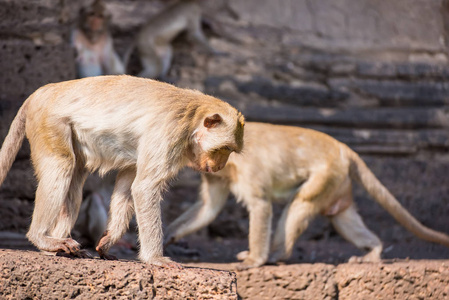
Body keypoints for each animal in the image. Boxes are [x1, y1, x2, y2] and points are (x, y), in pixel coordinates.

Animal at [0, 74, 245, 268]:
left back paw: (55, 249)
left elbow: (129, 185)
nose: (220, 165)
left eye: (231, 150)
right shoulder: (169, 133)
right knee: (62, 165)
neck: (192, 117)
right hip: (50, 122)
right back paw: (42, 239)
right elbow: (145, 188)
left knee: (75, 177)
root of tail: (42, 92)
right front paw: (155, 258)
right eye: (223, 148)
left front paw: (108, 241)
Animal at [164, 122, 448, 270]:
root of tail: (343, 148)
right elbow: (208, 209)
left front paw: (255, 260)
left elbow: (261, 206)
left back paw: (276, 255)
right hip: (338, 184)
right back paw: (373, 251)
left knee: (299, 205)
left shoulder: (246, 170)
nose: (205, 166)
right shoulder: (219, 177)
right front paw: (168, 236)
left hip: (327, 175)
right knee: (341, 218)